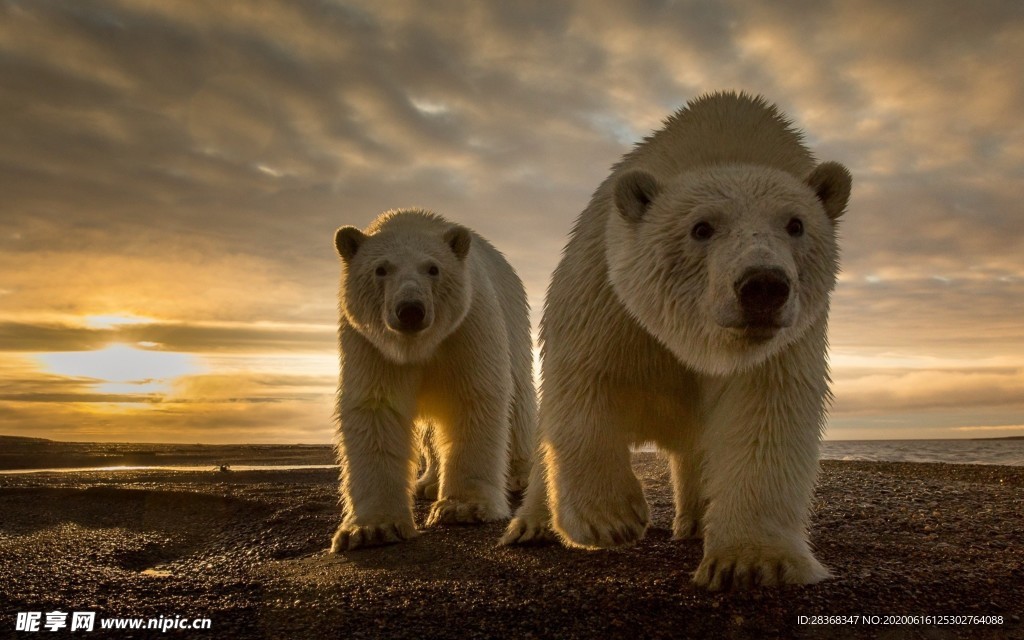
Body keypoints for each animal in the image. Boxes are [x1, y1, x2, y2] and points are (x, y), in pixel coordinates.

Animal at [330, 209, 536, 551]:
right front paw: (372, 528)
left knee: (519, 400)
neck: (418, 346)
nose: (410, 309)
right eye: (381, 269)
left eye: (433, 268)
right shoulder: (370, 344)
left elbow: (473, 396)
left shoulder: (468, 325)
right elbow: (375, 410)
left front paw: (463, 507)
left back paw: (518, 475)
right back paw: (427, 483)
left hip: (515, 322)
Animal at [501, 92, 851, 591]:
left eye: (796, 224)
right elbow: (585, 381)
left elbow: (766, 414)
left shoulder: (785, 341)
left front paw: (752, 561)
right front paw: (611, 519)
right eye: (701, 227)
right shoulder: (606, 293)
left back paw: (695, 521)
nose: (763, 285)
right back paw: (531, 525)